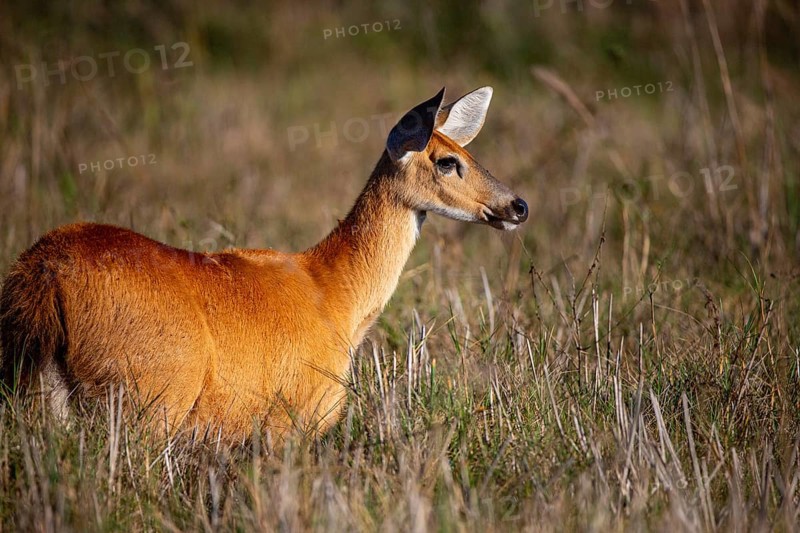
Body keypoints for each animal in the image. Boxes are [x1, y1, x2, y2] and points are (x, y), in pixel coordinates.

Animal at [0, 87, 528, 442]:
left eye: (467, 151)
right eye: (446, 161)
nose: (518, 205)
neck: (334, 292)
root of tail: (46, 272)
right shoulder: (291, 421)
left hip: (39, 392)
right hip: (146, 400)